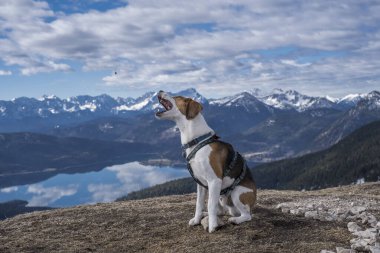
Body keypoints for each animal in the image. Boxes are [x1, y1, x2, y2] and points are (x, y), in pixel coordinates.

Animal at [155, 91, 258, 233]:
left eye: (177, 97)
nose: (160, 91)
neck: (198, 141)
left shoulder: (214, 181)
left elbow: (210, 204)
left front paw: (213, 226)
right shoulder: (200, 183)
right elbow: (199, 204)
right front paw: (197, 219)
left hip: (237, 193)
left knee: (247, 215)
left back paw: (235, 220)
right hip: (222, 197)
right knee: (222, 211)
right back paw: (208, 215)